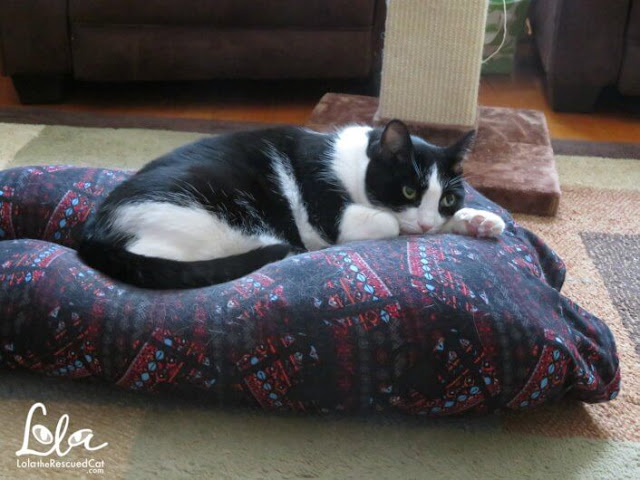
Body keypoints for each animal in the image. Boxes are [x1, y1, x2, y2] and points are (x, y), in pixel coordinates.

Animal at [79, 122, 504, 290]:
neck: (355, 164)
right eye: (409, 192)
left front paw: (478, 219)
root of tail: (91, 233)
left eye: (447, 198)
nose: (429, 223)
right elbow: (391, 224)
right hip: (210, 221)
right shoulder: (331, 212)